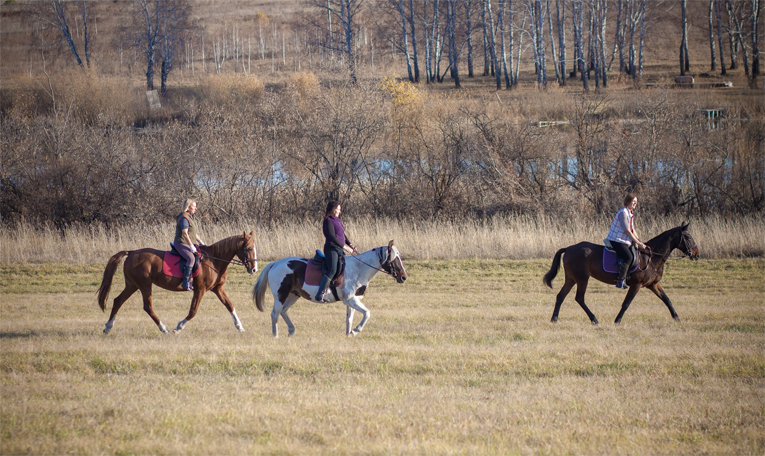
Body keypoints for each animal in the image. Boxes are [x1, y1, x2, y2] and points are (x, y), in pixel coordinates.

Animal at [95, 233, 256, 334]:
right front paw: (179, 327)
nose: (254, 269)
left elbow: (230, 306)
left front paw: (240, 327)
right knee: (148, 307)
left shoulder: (218, 289)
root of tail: (131, 252)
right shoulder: (200, 289)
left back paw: (108, 327)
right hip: (144, 285)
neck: (214, 260)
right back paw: (164, 329)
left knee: (118, 301)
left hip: (132, 285)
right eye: (248, 249)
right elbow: (193, 311)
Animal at [251, 240, 406, 336]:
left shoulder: (352, 300)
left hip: (294, 295)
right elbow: (367, 313)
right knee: (275, 314)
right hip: (281, 295)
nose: (404, 277)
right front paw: (356, 331)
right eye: (395, 258)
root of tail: (275, 264)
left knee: (283, 311)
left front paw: (348, 334)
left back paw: (291, 330)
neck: (359, 269)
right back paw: (275, 336)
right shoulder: (351, 299)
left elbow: (349, 319)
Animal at [540, 222, 696, 324]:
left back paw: (554, 319)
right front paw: (617, 320)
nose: (696, 254)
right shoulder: (636, 285)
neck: (651, 257)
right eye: (688, 237)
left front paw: (677, 317)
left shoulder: (653, 284)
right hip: (582, 279)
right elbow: (626, 303)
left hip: (572, 279)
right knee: (579, 298)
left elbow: (667, 299)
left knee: (561, 296)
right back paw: (594, 319)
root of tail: (569, 248)